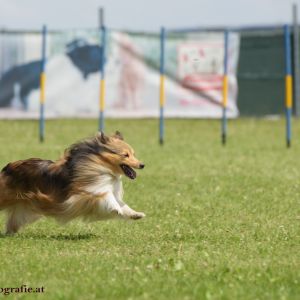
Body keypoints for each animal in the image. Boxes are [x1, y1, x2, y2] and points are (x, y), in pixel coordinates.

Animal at [0, 131, 145, 234]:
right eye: (125, 155)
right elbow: (107, 197)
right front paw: (117, 209)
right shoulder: (83, 193)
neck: (101, 165)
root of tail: (7, 168)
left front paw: (135, 214)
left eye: (133, 154)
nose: (142, 165)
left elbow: (123, 204)